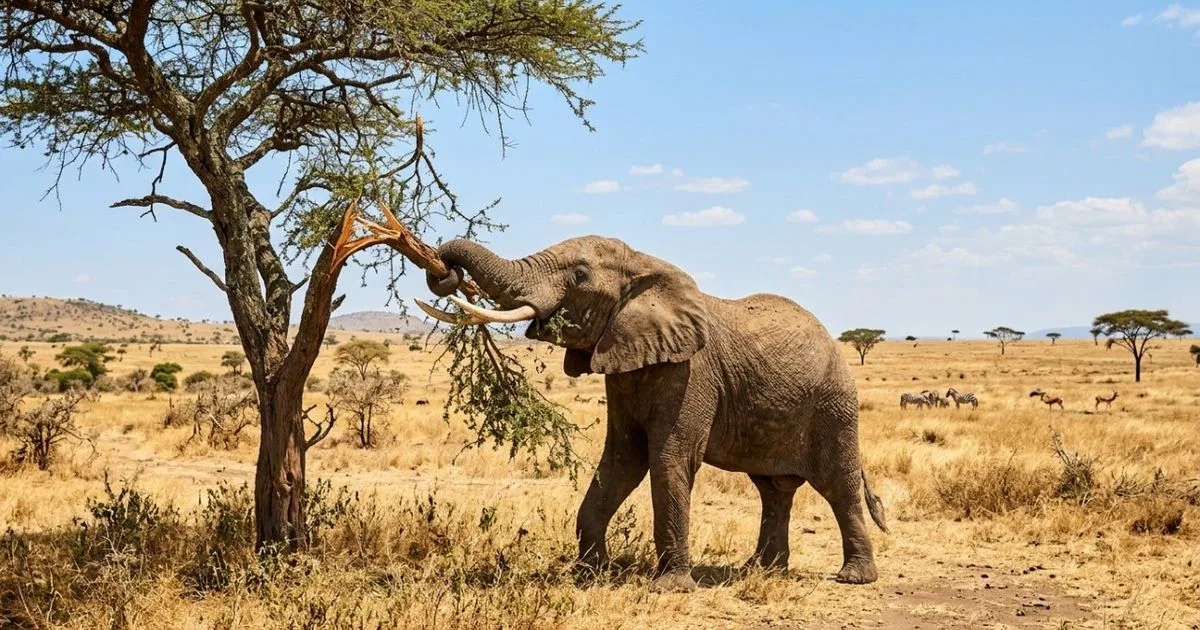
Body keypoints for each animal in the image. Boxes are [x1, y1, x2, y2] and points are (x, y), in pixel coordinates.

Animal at [419, 236, 888, 592]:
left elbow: (669, 459)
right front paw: (588, 575)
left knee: (838, 485)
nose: (445, 269)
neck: (645, 266)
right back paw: (762, 570)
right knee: (773, 489)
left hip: (834, 404)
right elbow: (621, 460)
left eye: (580, 276)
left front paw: (670, 588)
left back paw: (853, 578)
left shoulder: (691, 371)